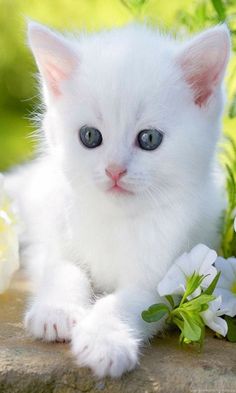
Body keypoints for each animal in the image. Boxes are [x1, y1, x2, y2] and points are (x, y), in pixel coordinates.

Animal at [6, 21, 230, 376]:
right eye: (90, 136)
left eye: (149, 138)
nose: (114, 170)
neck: (116, 218)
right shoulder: (59, 234)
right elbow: (63, 268)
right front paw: (56, 312)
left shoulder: (166, 277)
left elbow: (127, 301)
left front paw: (104, 341)